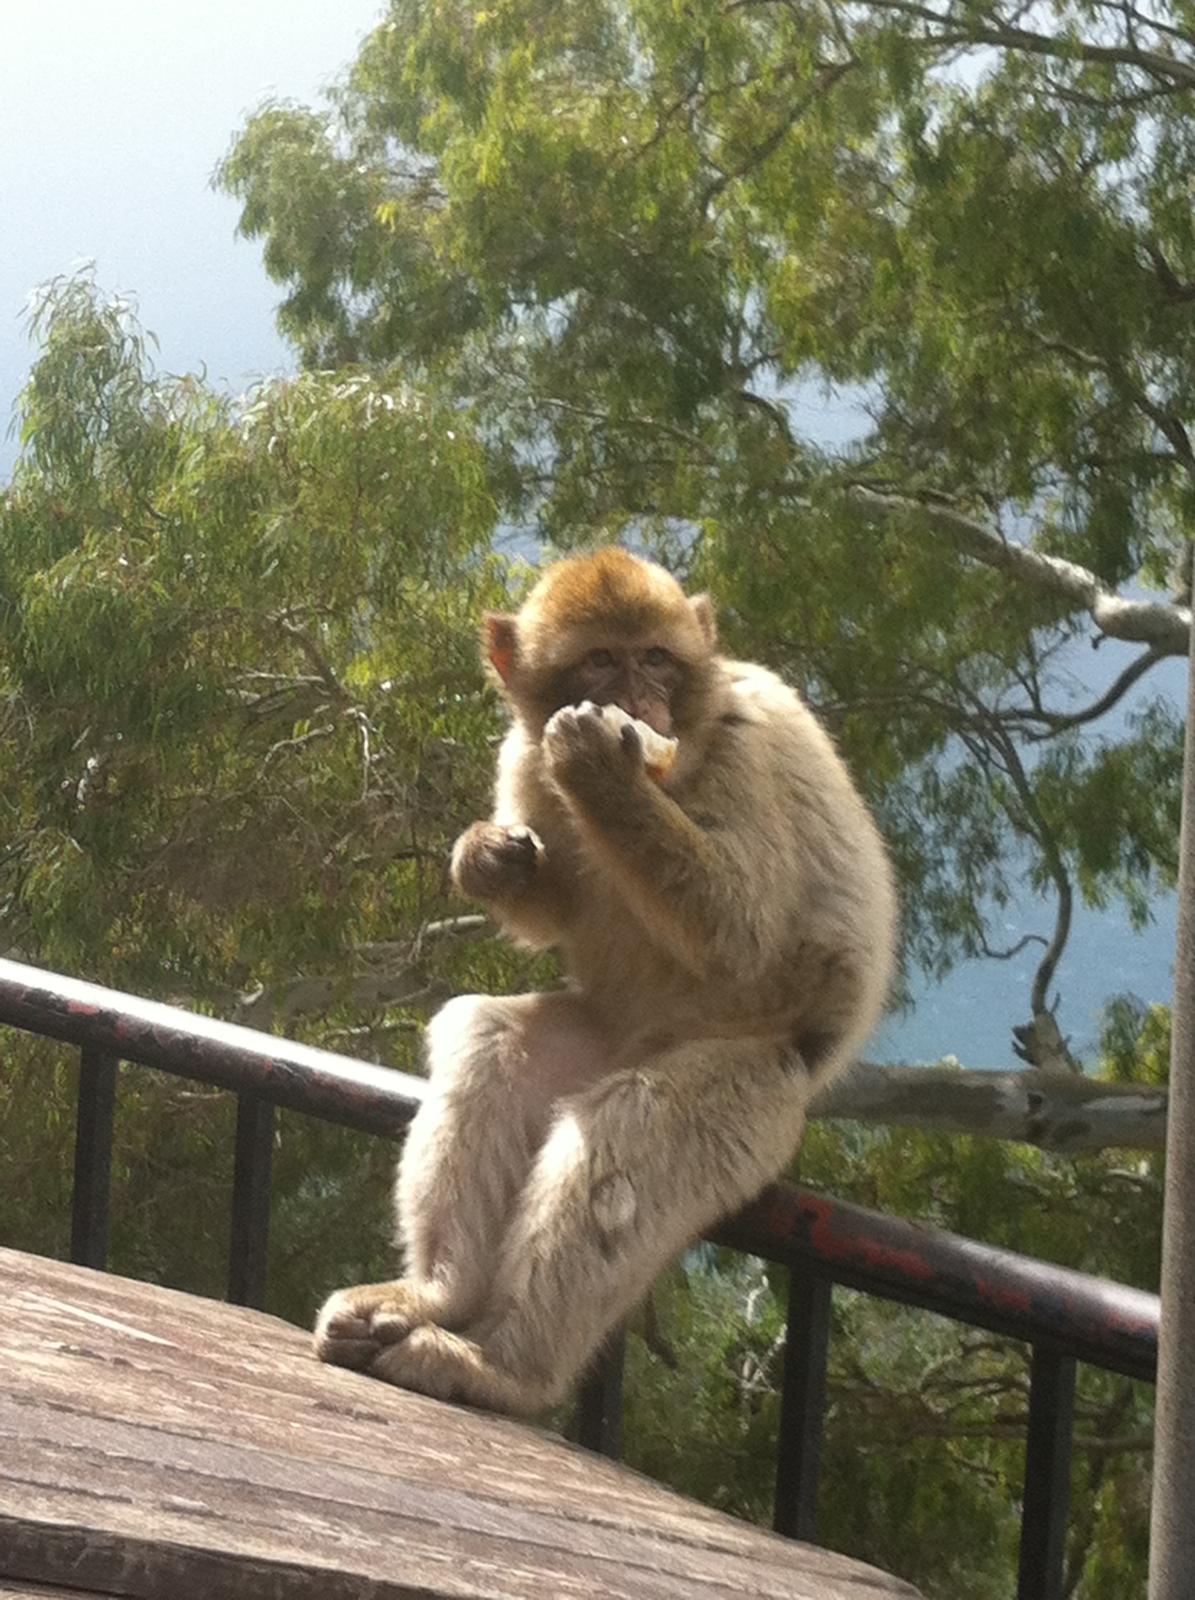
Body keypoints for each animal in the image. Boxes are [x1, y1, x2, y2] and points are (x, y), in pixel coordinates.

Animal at [314, 547, 898, 1415]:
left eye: (654, 658)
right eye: (599, 660)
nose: (636, 699)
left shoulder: (747, 748)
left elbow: (742, 935)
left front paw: (600, 773)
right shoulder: (520, 751)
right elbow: (550, 906)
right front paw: (485, 858)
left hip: (755, 1081)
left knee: (635, 1116)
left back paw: (503, 1365)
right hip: (593, 1035)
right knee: (490, 1044)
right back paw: (439, 1294)